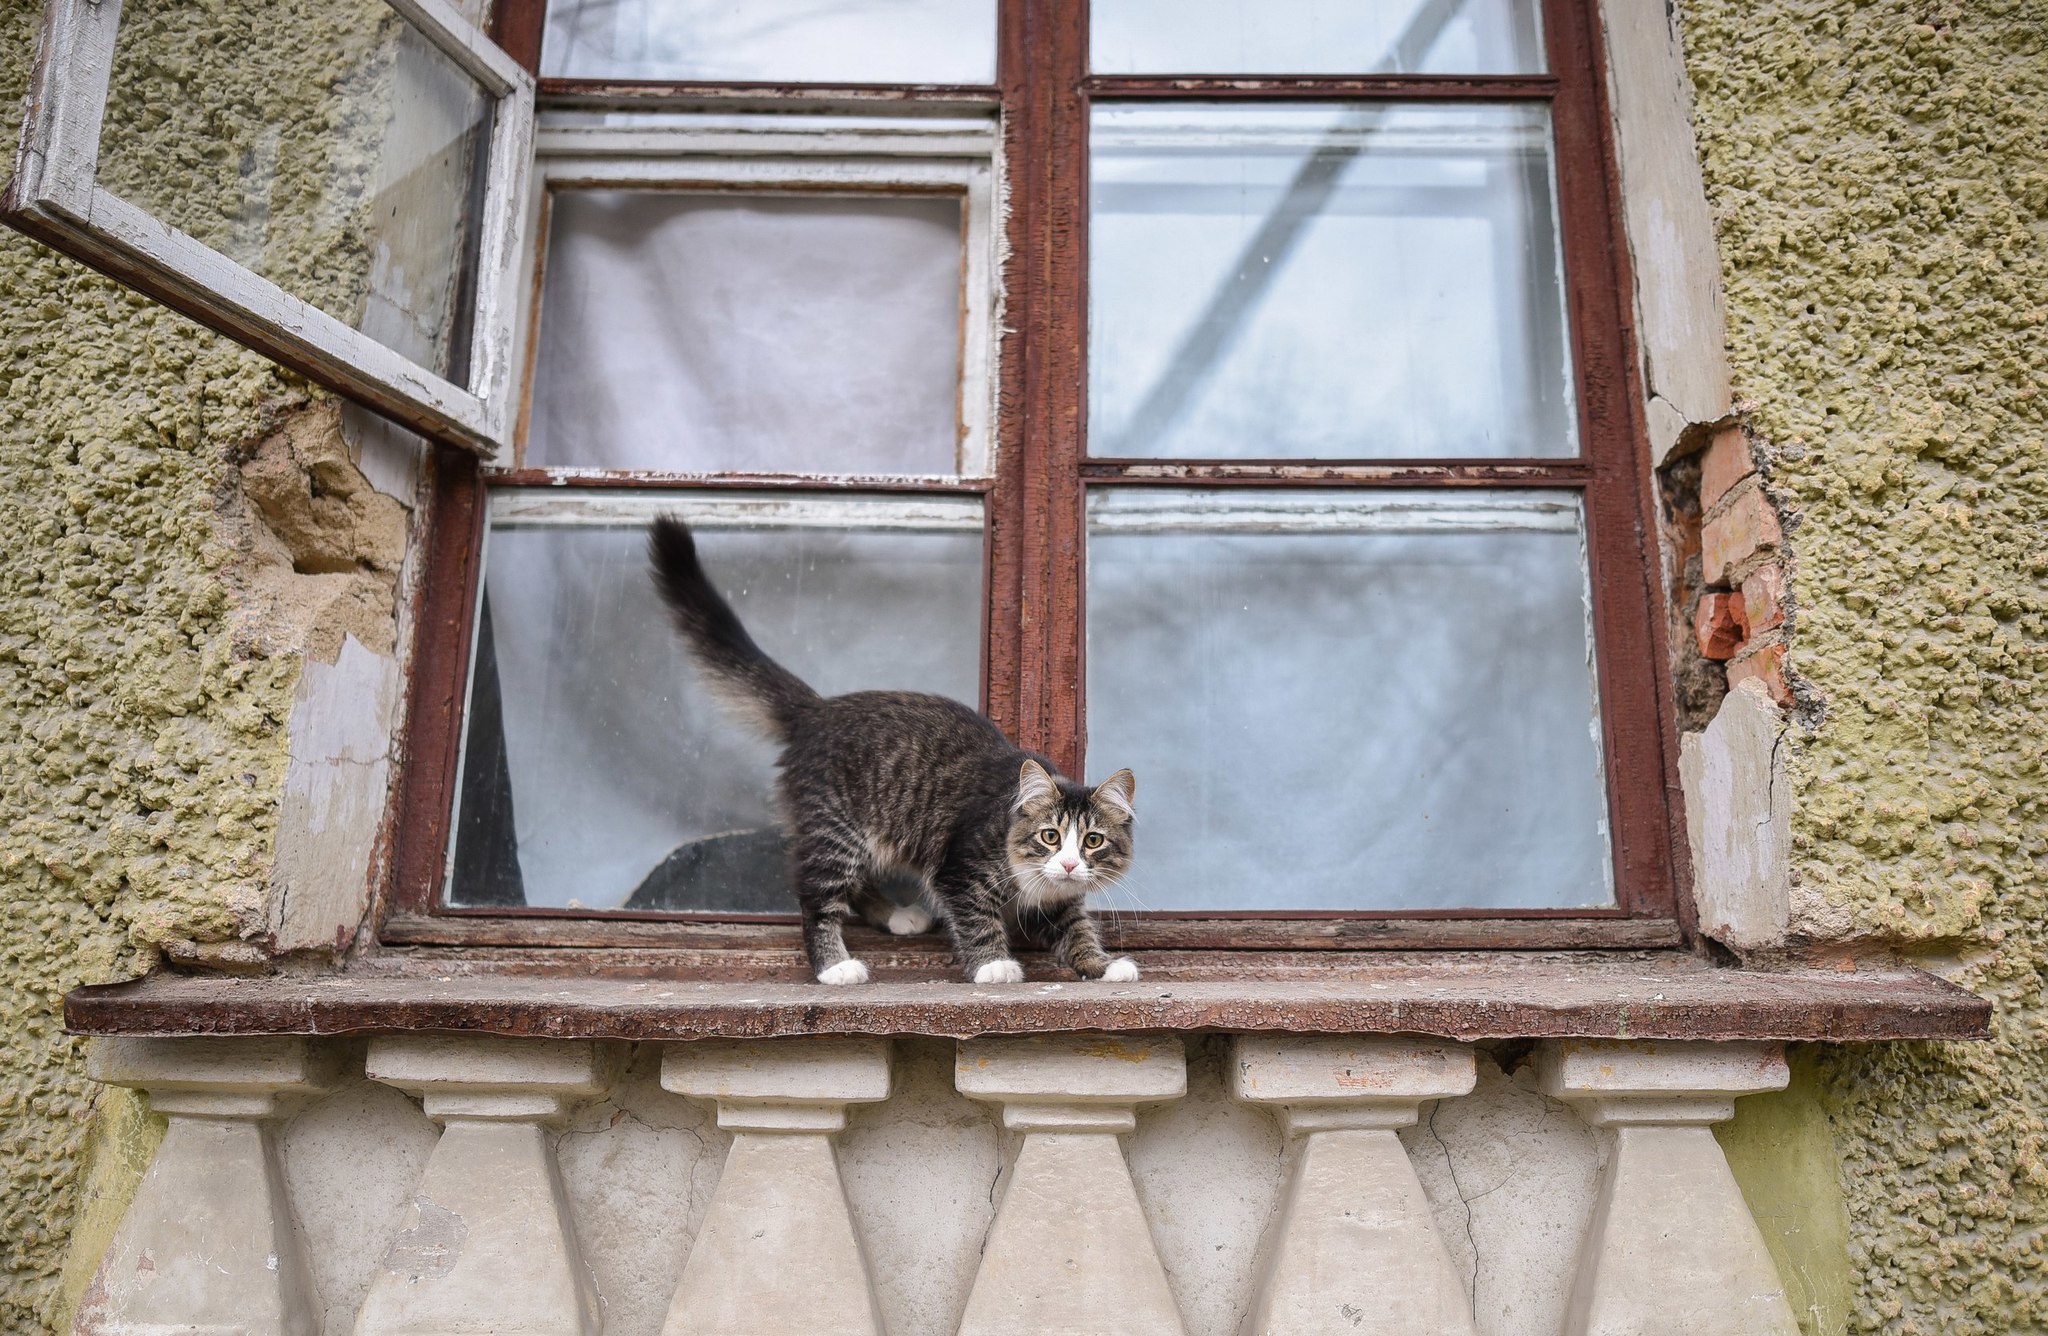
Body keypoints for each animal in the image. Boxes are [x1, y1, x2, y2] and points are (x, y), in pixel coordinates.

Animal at [651, 516, 1146, 987]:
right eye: (1050, 836)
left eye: (1092, 841)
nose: (1069, 863)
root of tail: (819, 710)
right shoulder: (958, 872)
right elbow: (977, 921)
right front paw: (992, 965)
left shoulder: (1058, 902)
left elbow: (1077, 932)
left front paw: (1103, 966)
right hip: (836, 832)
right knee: (818, 900)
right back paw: (835, 967)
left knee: (856, 888)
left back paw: (897, 916)